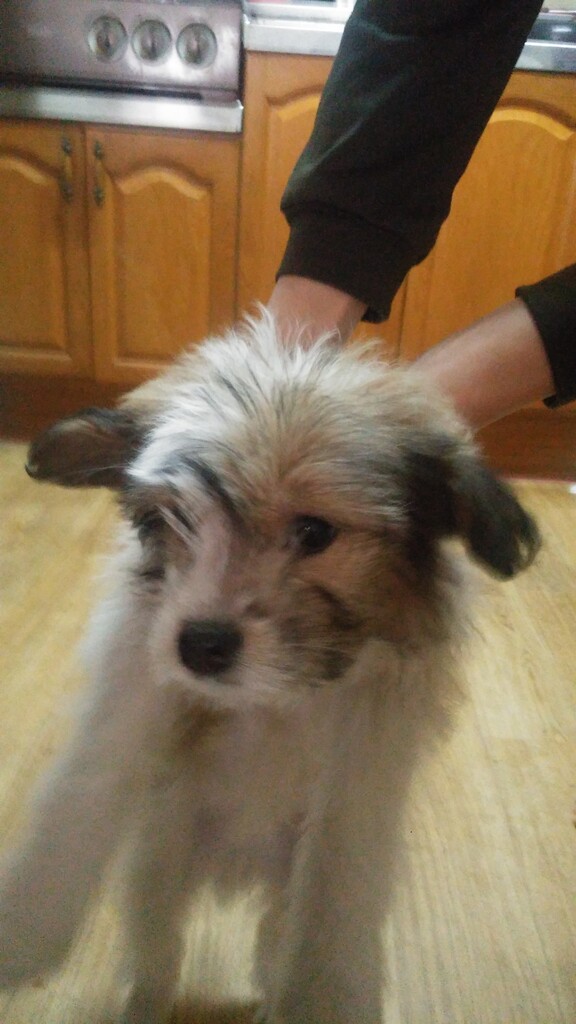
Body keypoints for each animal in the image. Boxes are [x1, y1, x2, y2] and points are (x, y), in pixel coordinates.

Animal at [0, 313, 539, 1023]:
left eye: (315, 533)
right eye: (173, 517)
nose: (199, 645)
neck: (277, 695)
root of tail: (237, 868)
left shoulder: (364, 765)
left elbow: (336, 894)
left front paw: (326, 995)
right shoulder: (136, 674)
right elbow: (85, 784)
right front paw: (29, 925)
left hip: (274, 898)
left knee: (271, 948)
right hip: (158, 866)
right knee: (157, 954)